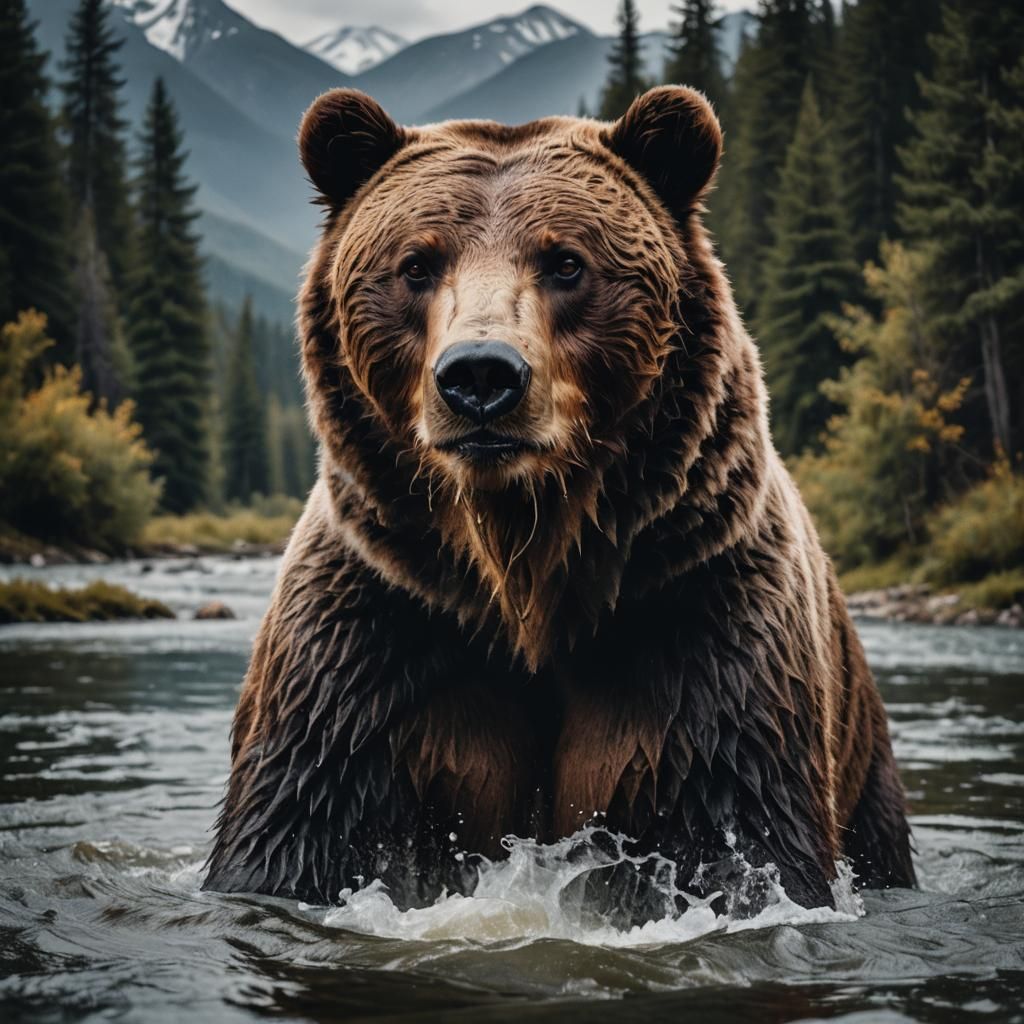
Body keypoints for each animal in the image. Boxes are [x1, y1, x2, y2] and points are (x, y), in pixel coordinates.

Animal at [203, 86, 915, 915]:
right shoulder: (374, 636)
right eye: (416, 263)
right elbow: (297, 825)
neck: (522, 575)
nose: (480, 375)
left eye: (566, 262)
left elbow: (744, 839)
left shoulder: (698, 624)